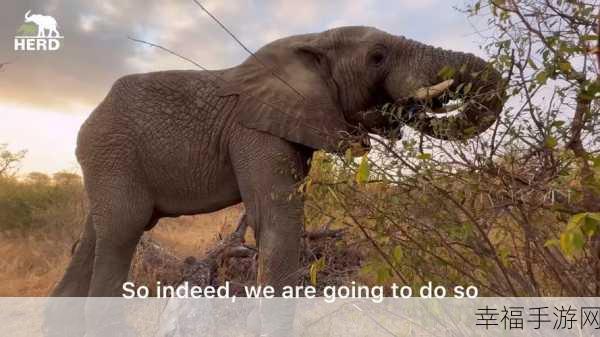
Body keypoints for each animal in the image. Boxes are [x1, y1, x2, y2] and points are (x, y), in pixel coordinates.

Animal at [48, 25, 502, 334]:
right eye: (376, 57)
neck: (314, 40)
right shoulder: (255, 133)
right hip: (113, 152)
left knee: (97, 237)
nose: (405, 110)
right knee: (122, 232)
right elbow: (276, 225)